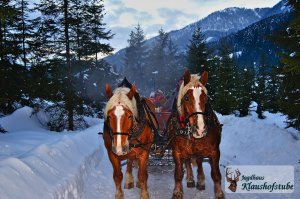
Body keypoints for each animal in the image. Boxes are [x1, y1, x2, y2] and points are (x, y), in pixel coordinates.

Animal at [166, 70, 225, 198]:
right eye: (187, 98)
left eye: (206, 98)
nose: (200, 128)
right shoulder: (177, 152)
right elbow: (178, 173)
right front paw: (177, 192)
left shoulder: (215, 151)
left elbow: (216, 174)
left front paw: (219, 193)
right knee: (189, 161)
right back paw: (190, 179)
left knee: (199, 161)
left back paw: (200, 180)